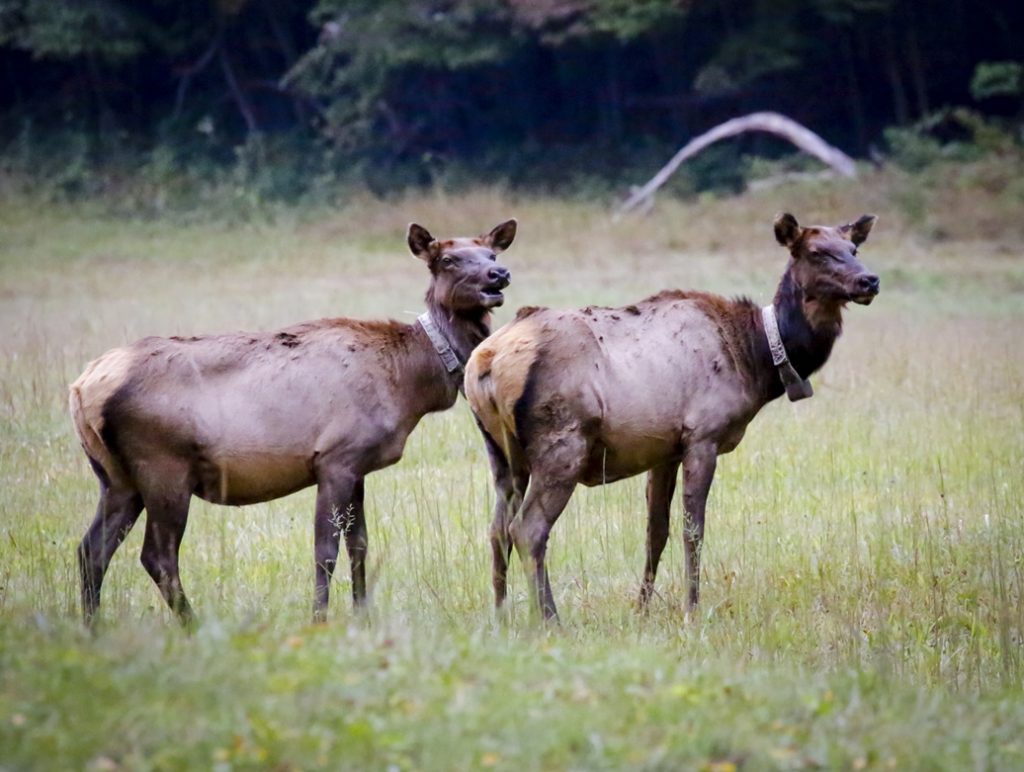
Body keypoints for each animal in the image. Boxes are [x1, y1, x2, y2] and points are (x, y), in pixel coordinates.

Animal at [72, 218, 516, 626]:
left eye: (491, 254)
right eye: (447, 260)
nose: (499, 276)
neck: (408, 382)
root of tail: (81, 389)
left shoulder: (358, 465)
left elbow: (359, 544)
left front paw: (362, 615)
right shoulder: (335, 457)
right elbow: (325, 551)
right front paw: (319, 619)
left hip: (117, 478)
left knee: (91, 548)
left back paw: (92, 626)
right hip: (163, 465)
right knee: (157, 555)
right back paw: (191, 624)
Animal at [468, 211, 876, 618]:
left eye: (853, 249)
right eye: (815, 252)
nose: (869, 280)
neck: (756, 359)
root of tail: (485, 361)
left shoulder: (664, 450)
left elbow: (656, 531)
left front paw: (641, 609)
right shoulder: (703, 436)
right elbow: (692, 530)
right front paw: (691, 609)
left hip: (502, 455)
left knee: (497, 529)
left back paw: (500, 613)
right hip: (561, 446)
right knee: (528, 529)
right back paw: (550, 617)